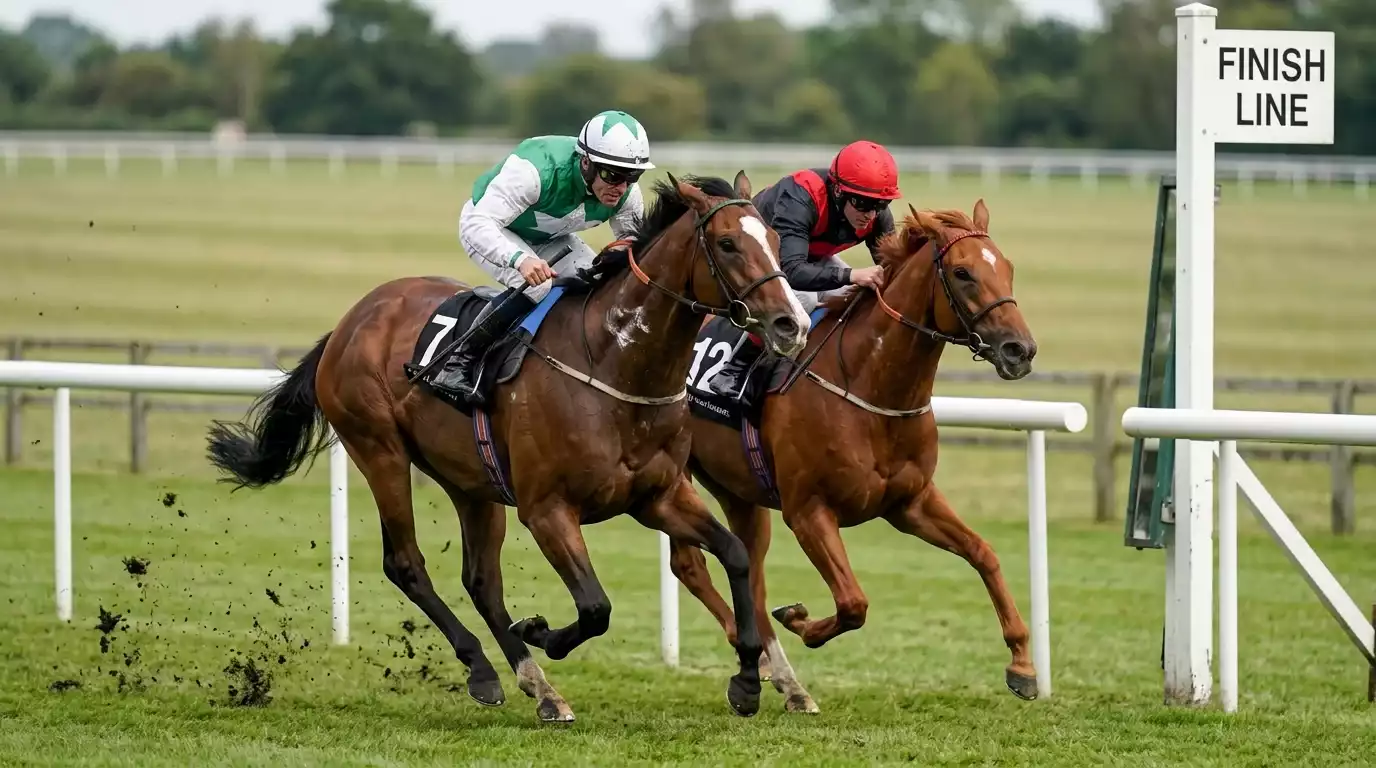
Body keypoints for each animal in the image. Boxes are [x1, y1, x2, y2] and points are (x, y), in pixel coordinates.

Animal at [205, 172, 811, 723]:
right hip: (379, 450)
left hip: (471, 481)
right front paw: (542, 631)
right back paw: (483, 670)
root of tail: (351, 321)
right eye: (728, 243)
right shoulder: (546, 509)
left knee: (481, 581)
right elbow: (596, 607)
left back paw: (539, 688)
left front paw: (749, 681)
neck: (613, 361)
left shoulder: (656, 497)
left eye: (774, 239)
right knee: (406, 564)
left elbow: (734, 554)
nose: (792, 322)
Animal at [666, 201, 1039, 713]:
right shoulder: (808, 511)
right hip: (672, 475)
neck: (869, 387)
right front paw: (800, 620)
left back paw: (786, 681)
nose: (1020, 350)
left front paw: (1022, 664)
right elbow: (853, 603)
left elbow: (985, 554)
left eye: (1007, 268)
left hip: (738, 491)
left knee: (749, 569)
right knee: (690, 565)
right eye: (963, 272)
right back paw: (761, 660)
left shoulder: (910, 503)